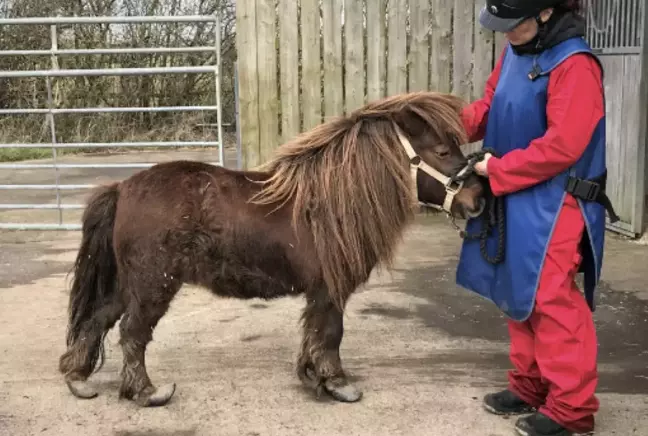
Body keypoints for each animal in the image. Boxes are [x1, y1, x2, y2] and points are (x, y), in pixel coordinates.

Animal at [59, 90, 486, 408]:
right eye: (442, 152)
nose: (478, 198)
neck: (330, 202)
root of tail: (123, 188)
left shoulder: (319, 292)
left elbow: (314, 331)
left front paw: (313, 375)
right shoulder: (330, 289)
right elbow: (331, 332)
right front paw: (337, 383)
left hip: (129, 284)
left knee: (98, 319)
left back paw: (78, 379)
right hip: (152, 286)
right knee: (132, 332)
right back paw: (146, 392)